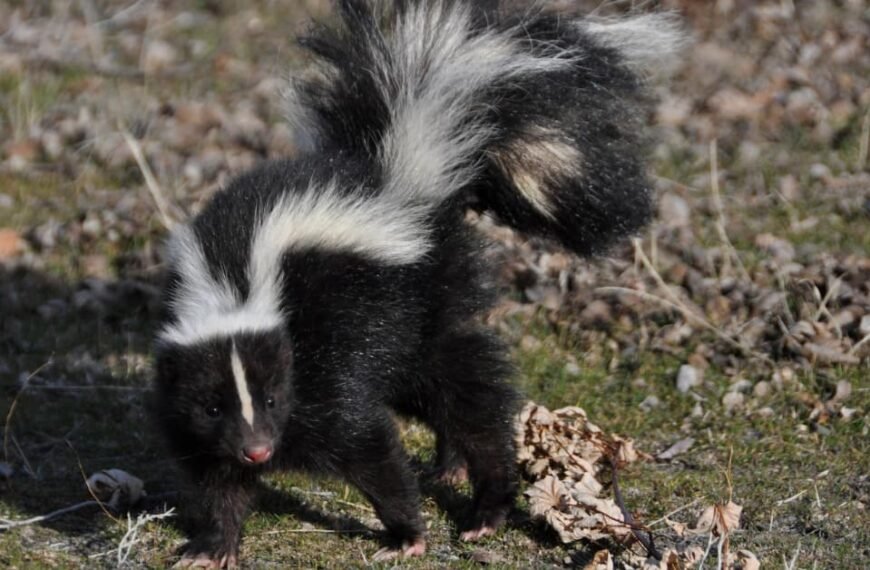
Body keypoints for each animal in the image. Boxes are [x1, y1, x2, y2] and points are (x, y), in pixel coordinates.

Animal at [153, 1, 684, 564]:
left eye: (274, 398)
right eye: (212, 405)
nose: (258, 449)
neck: (234, 286)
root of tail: (405, 177)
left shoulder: (324, 360)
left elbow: (366, 445)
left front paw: (408, 534)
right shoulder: (194, 412)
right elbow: (216, 478)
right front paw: (213, 546)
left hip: (421, 305)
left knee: (468, 395)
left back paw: (486, 505)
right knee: (441, 392)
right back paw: (449, 466)